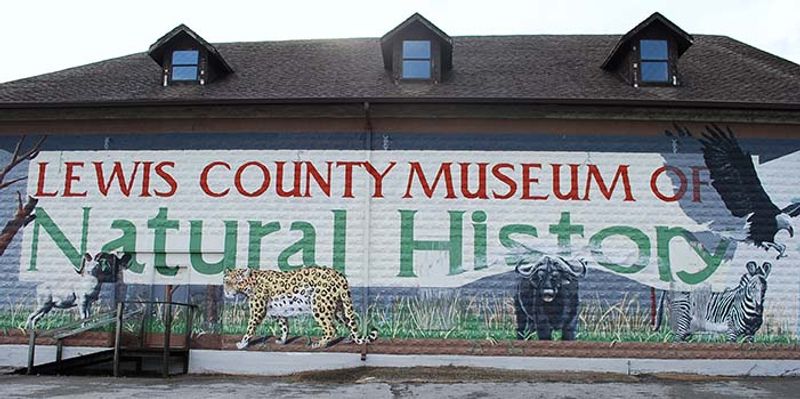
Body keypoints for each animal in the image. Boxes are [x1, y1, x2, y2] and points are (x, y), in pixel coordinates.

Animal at [222, 266, 378, 350]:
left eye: (236, 282)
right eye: (226, 282)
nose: (227, 292)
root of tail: (339, 275)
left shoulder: (257, 311)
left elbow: (250, 328)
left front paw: (242, 343)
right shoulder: (279, 311)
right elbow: (284, 326)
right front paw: (282, 340)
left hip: (320, 306)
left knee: (331, 328)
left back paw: (319, 344)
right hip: (339, 308)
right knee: (348, 322)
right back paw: (350, 339)